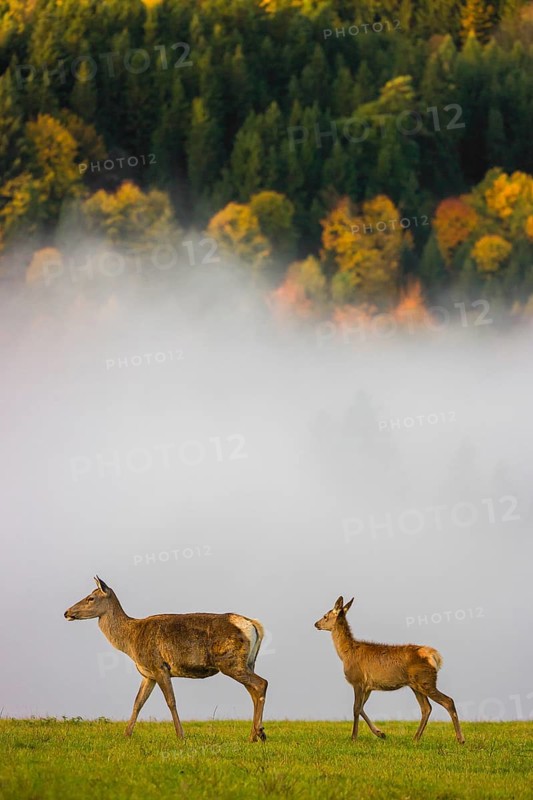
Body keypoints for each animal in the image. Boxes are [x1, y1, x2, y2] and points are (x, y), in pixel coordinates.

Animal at [64, 576, 268, 742]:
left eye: (91, 598)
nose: (66, 612)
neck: (130, 642)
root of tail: (254, 624)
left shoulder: (159, 666)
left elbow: (171, 701)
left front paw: (180, 735)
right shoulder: (147, 674)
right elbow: (138, 702)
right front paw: (126, 734)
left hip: (231, 662)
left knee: (261, 684)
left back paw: (258, 733)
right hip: (249, 662)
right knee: (253, 691)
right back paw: (255, 734)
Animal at [315, 596, 465, 744]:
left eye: (325, 616)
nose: (316, 624)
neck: (346, 654)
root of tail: (434, 655)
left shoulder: (358, 680)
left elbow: (356, 708)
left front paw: (354, 737)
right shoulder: (368, 687)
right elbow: (362, 707)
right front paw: (380, 733)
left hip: (425, 680)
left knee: (448, 701)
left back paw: (460, 739)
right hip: (416, 684)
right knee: (426, 708)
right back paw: (415, 738)